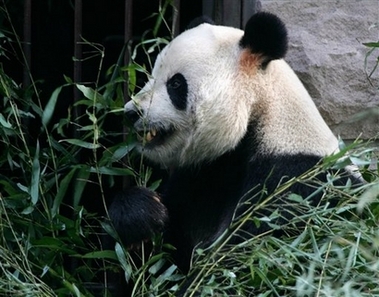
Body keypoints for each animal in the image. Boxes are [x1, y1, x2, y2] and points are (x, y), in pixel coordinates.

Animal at [108, 11, 348, 274]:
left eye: (175, 84)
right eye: (152, 76)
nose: (131, 112)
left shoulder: (294, 185)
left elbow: (244, 257)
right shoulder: (204, 174)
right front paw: (142, 214)